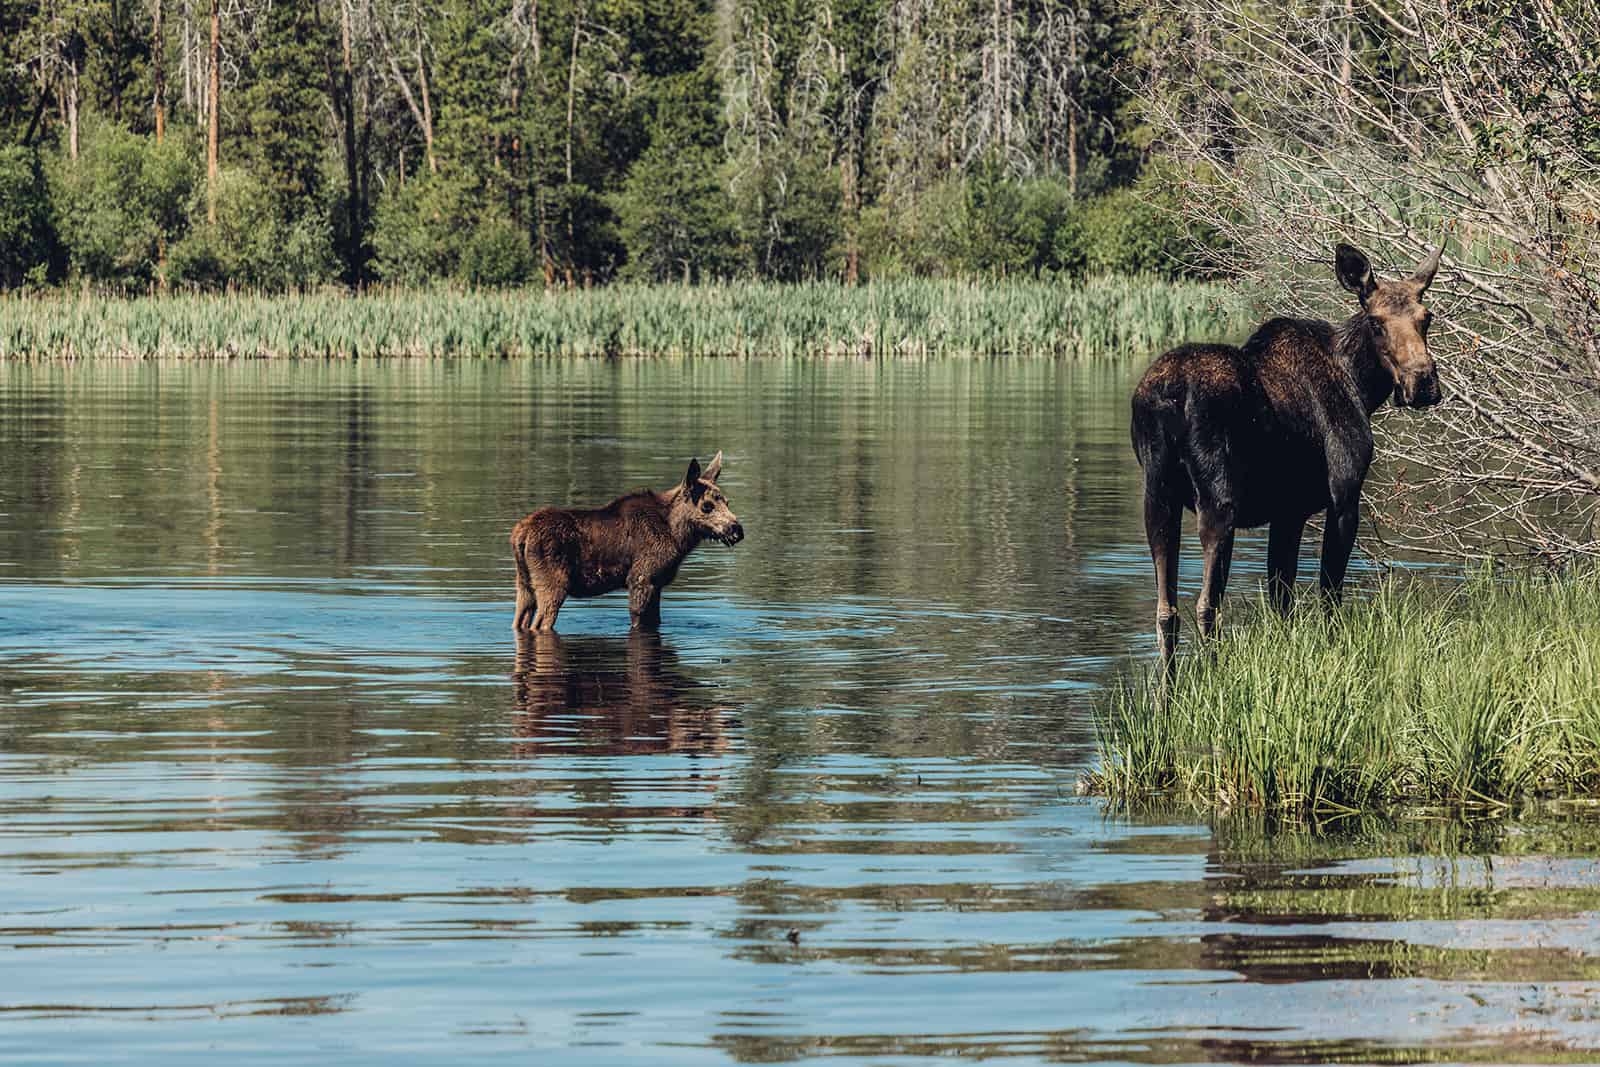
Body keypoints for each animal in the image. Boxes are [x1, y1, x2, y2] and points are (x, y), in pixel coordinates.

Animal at [508, 454, 745, 633]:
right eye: (707, 505)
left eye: (727, 502)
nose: (737, 530)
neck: (678, 536)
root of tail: (520, 535)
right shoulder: (641, 578)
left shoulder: (657, 583)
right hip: (553, 584)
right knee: (539, 624)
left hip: (524, 585)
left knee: (519, 622)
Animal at [1126, 246, 1452, 671]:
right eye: (1376, 322)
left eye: (1426, 317)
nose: (1422, 382)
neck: (1362, 386)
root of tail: (1168, 395)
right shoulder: (1343, 499)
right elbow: (1328, 592)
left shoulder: (1288, 512)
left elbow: (1282, 599)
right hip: (1218, 501)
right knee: (1206, 604)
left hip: (1158, 497)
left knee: (1167, 610)